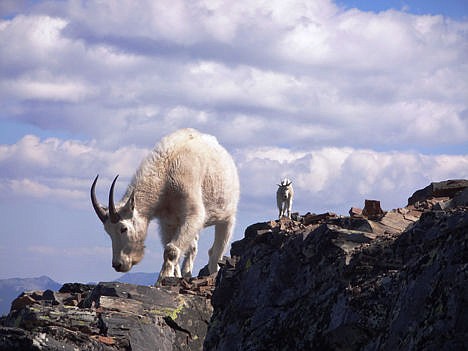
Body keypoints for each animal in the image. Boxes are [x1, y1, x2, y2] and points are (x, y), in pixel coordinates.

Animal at [90, 129, 239, 284]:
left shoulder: (193, 213)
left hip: (227, 216)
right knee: (193, 247)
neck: (166, 173)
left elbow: (170, 250)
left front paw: (162, 278)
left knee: (217, 249)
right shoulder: (168, 222)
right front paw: (175, 276)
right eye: (108, 232)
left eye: (123, 228)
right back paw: (186, 274)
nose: (118, 265)